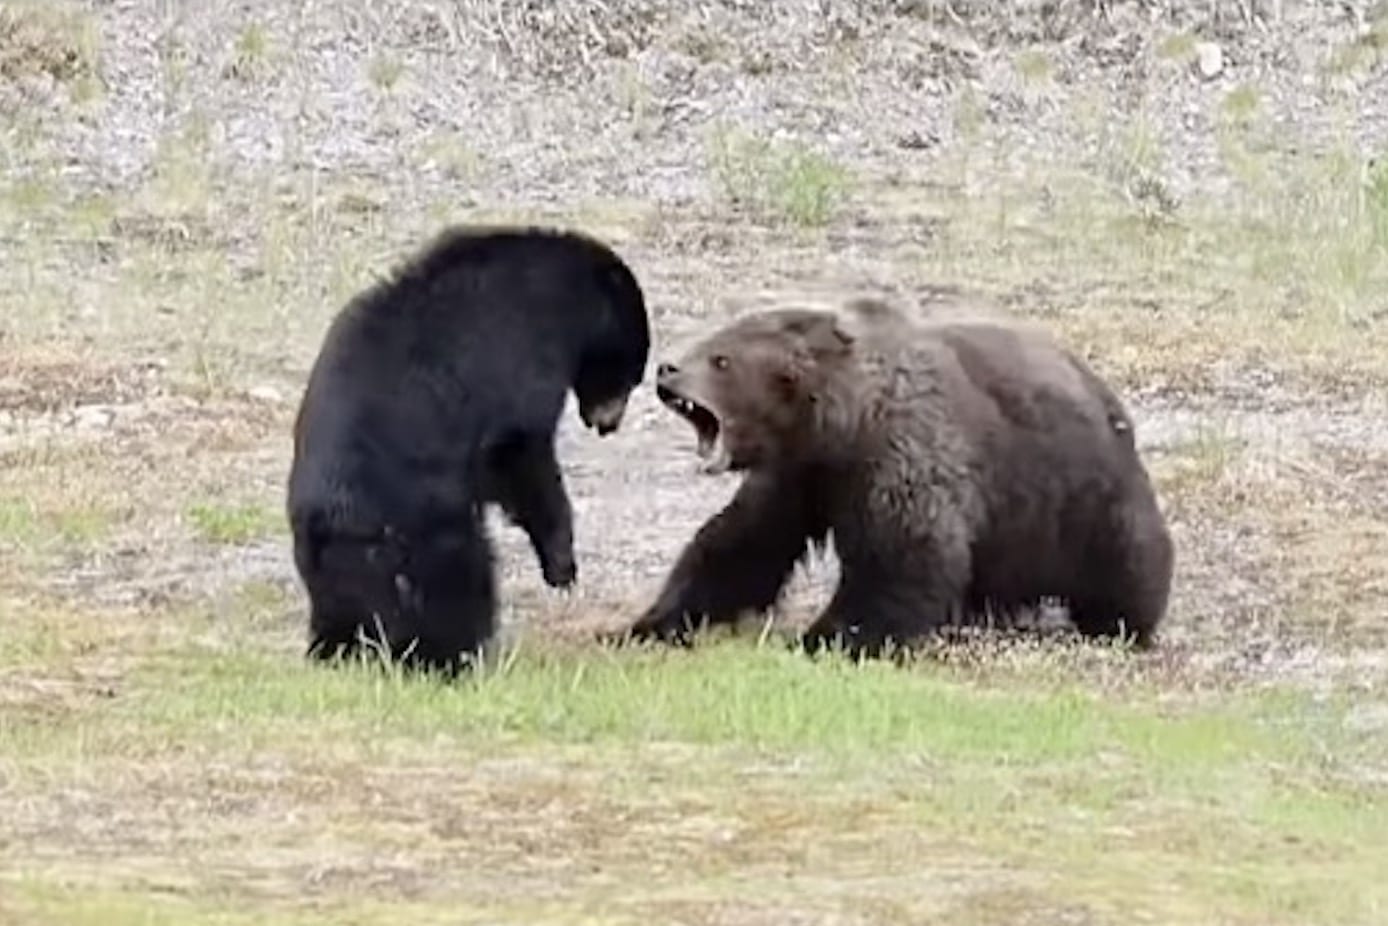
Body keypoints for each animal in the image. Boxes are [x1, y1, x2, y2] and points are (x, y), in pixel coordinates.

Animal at [287, 224, 651, 675]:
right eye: (632, 372)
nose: (608, 425)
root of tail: (332, 522)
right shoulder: (521, 349)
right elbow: (518, 452)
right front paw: (561, 563)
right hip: (422, 536)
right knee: (462, 587)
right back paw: (458, 656)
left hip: (335, 568)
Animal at [620, 298, 1173, 657]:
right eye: (712, 343)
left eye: (720, 359)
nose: (666, 369)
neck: (841, 424)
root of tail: (1109, 396)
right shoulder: (800, 476)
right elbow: (742, 546)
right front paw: (648, 622)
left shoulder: (901, 455)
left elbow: (903, 557)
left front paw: (824, 637)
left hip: (1087, 492)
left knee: (1129, 561)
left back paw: (1119, 623)